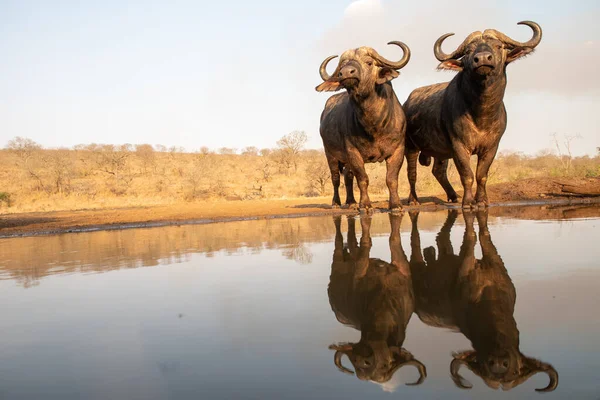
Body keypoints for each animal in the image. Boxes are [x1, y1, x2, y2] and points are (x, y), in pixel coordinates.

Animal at [316, 41, 410, 212]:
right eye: (342, 66)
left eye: (369, 62)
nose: (346, 72)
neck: (374, 125)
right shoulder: (353, 152)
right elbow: (362, 179)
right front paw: (365, 205)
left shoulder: (398, 149)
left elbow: (391, 178)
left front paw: (395, 205)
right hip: (330, 154)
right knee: (335, 178)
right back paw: (336, 203)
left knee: (347, 177)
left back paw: (351, 202)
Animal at [328, 216, 426, 388]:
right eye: (355, 361)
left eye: (385, 366)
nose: (366, 362)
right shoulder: (359, 271)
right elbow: (365, 246)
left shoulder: (402, 267)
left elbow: (394, 239)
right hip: (337, 258)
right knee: (339, 241)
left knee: (352, 240)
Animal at [406, 21, 540, 208]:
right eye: (469, 51)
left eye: (499, 46)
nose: (483, 59)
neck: (481, 113)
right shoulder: (459, 147)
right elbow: (467, 175)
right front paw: (468, 202)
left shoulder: (491, 147)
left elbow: (481, 175)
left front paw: (482, 200)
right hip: (410, 147)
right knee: (412, 174)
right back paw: (413, 200)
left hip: (441, 152)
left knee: (438, 171)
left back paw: (453, 196)